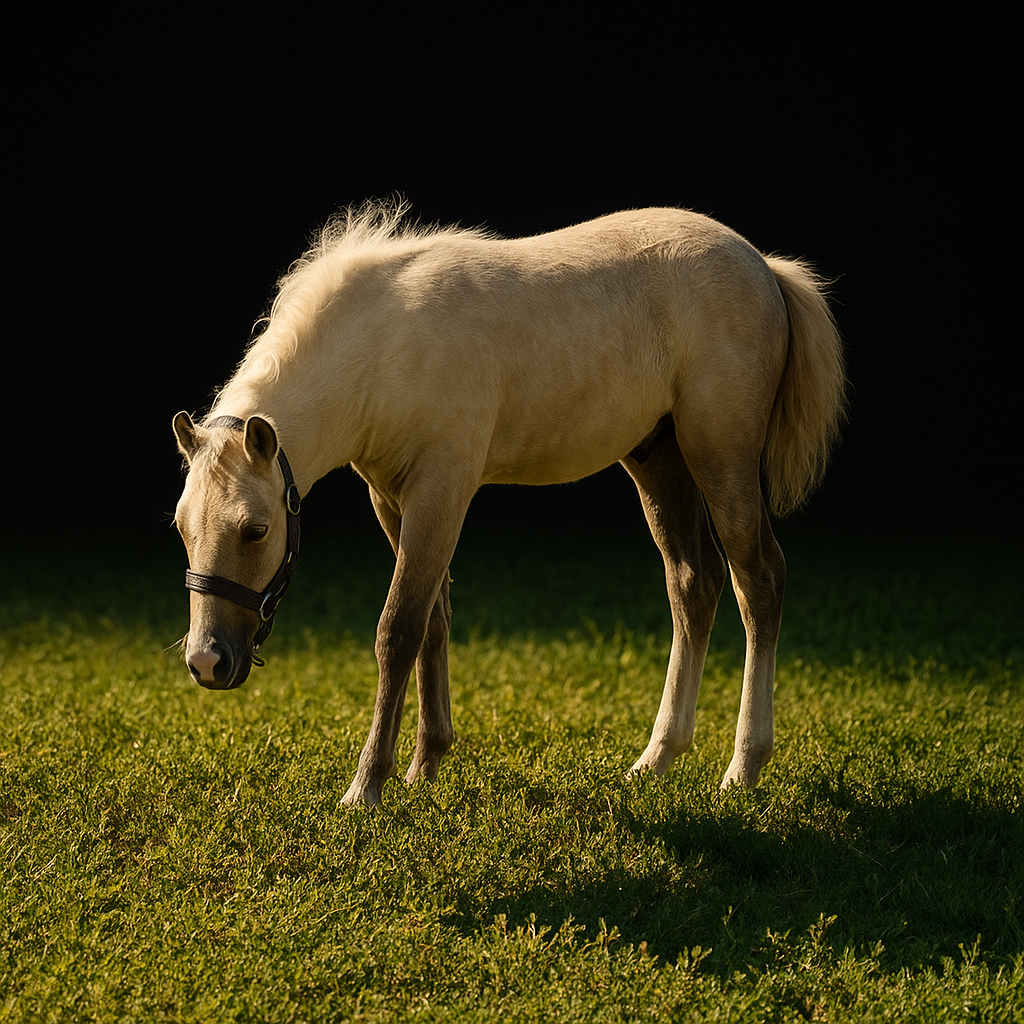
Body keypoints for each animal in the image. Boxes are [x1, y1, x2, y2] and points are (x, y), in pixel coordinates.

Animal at [172, 202, 846, 806]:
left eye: (257, 530)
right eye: (181, 528)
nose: (207, 662)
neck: (385, 341)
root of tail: (763, 266)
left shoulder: (441, 492)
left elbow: (399, 629)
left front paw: (366, 787)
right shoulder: (392, 500)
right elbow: (434, 621)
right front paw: (425, 763)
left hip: (721, 459)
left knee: (759, 581)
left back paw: (743, 766)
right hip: (661, 464)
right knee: (693, 585)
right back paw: (656, 759)